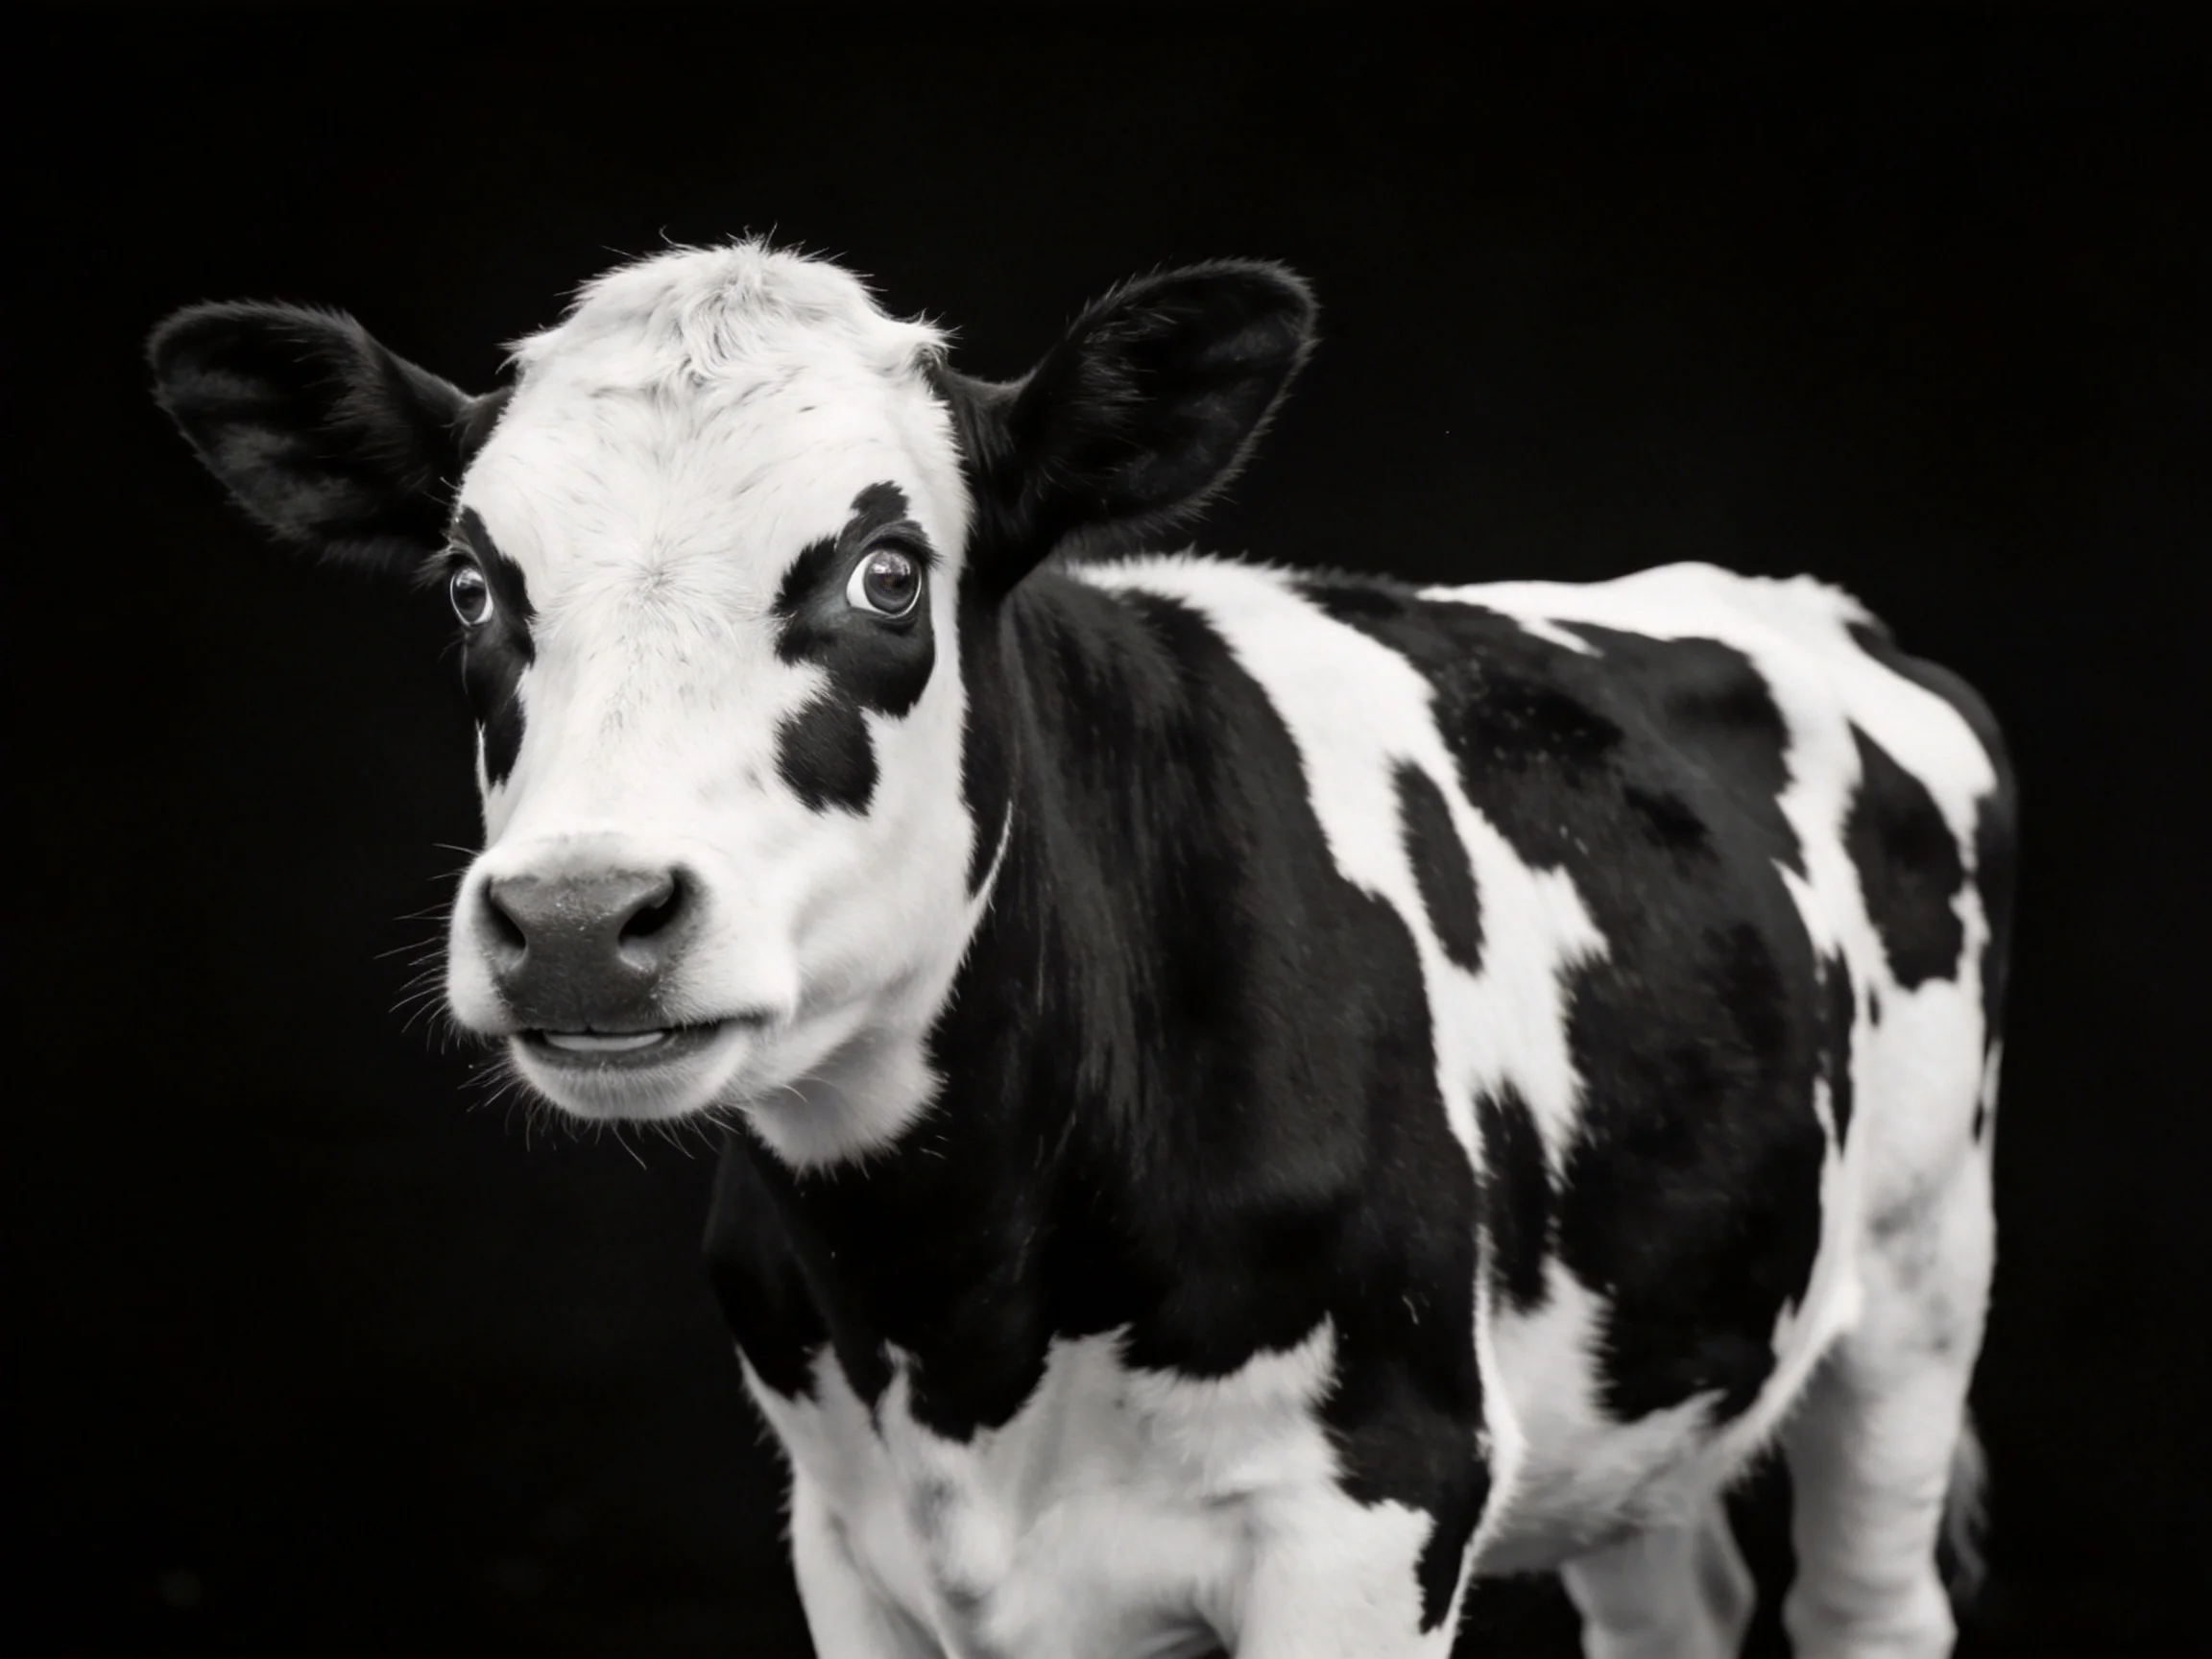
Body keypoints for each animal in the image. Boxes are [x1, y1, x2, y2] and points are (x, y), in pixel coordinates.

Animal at [149, 242, 2014, 1659]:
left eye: (886, 572)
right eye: (472, 584)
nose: (578, 919)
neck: (957, 1298)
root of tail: (1792, 605)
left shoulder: (1378, 1507)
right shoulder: (848, 1540)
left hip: (1918, 1281)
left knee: (1866, 1602)